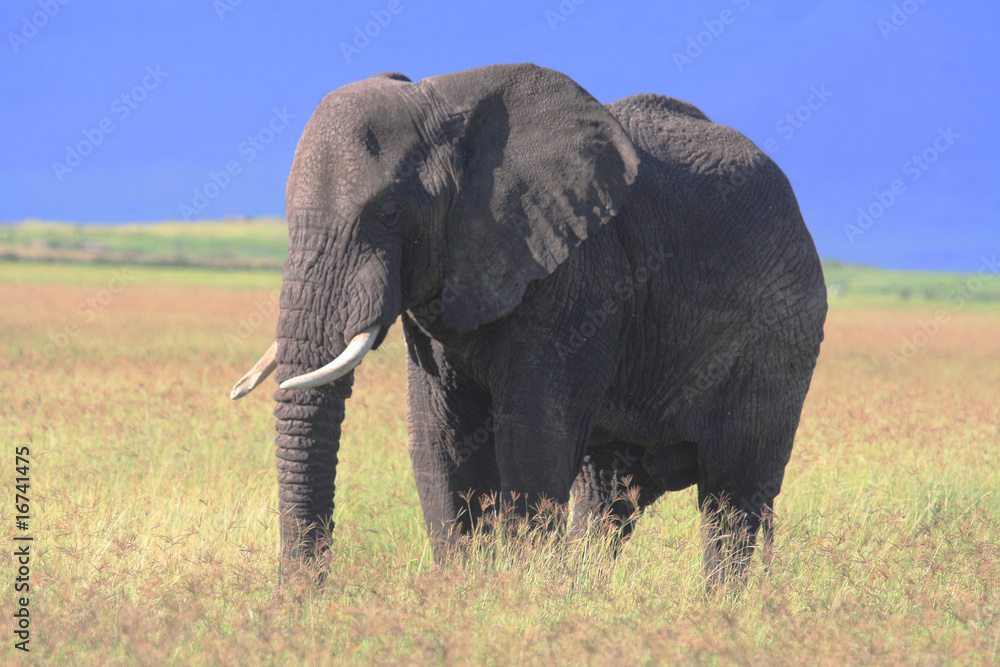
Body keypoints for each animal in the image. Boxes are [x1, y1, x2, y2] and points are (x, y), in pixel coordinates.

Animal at [230, 63, 827, 583]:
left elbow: (533, 445)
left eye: (391, 213)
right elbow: (442, 446)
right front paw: (470, 594)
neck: (445, 103)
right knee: (608, 499)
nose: (302, 599)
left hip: (779, 336)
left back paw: (719, 605)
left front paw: (519, 595)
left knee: (733, 496)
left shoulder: (579, 275)